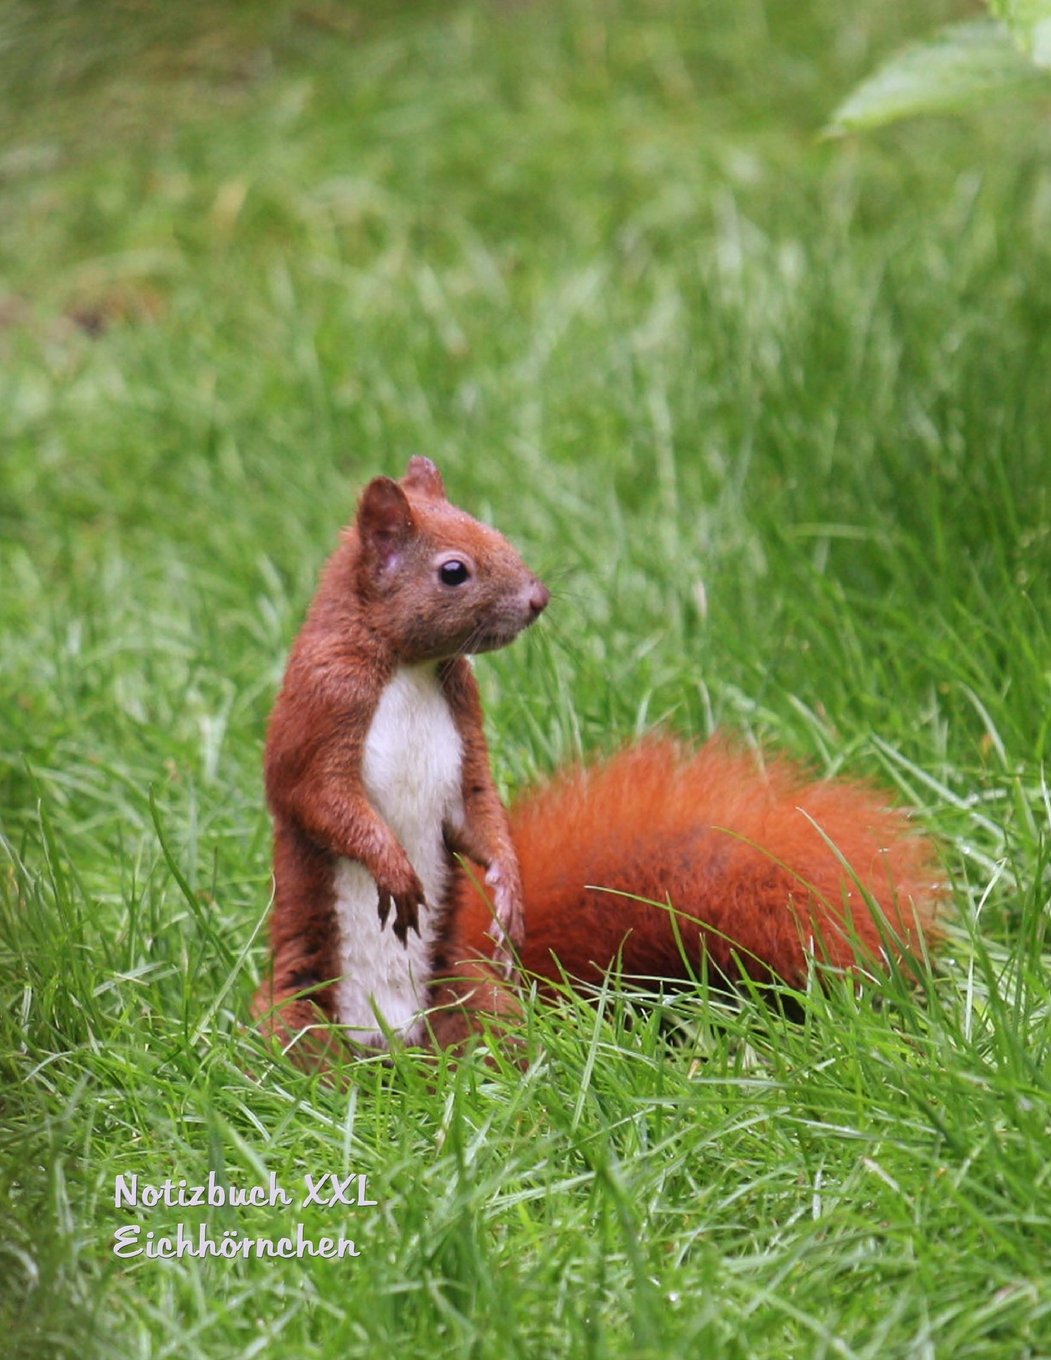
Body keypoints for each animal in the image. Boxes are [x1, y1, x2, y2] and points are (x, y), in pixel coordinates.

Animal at [254, 457, 943, 1065]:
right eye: (453, 571)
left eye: (497, 533)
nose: (538, 598)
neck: (410, 667)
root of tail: (391, 1052)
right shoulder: (322, 708)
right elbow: (319, 798)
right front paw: (394, 867)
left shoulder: (464, 727)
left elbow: (477, 809)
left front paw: (509, 887)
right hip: (298, 1008)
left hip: (470, 999)